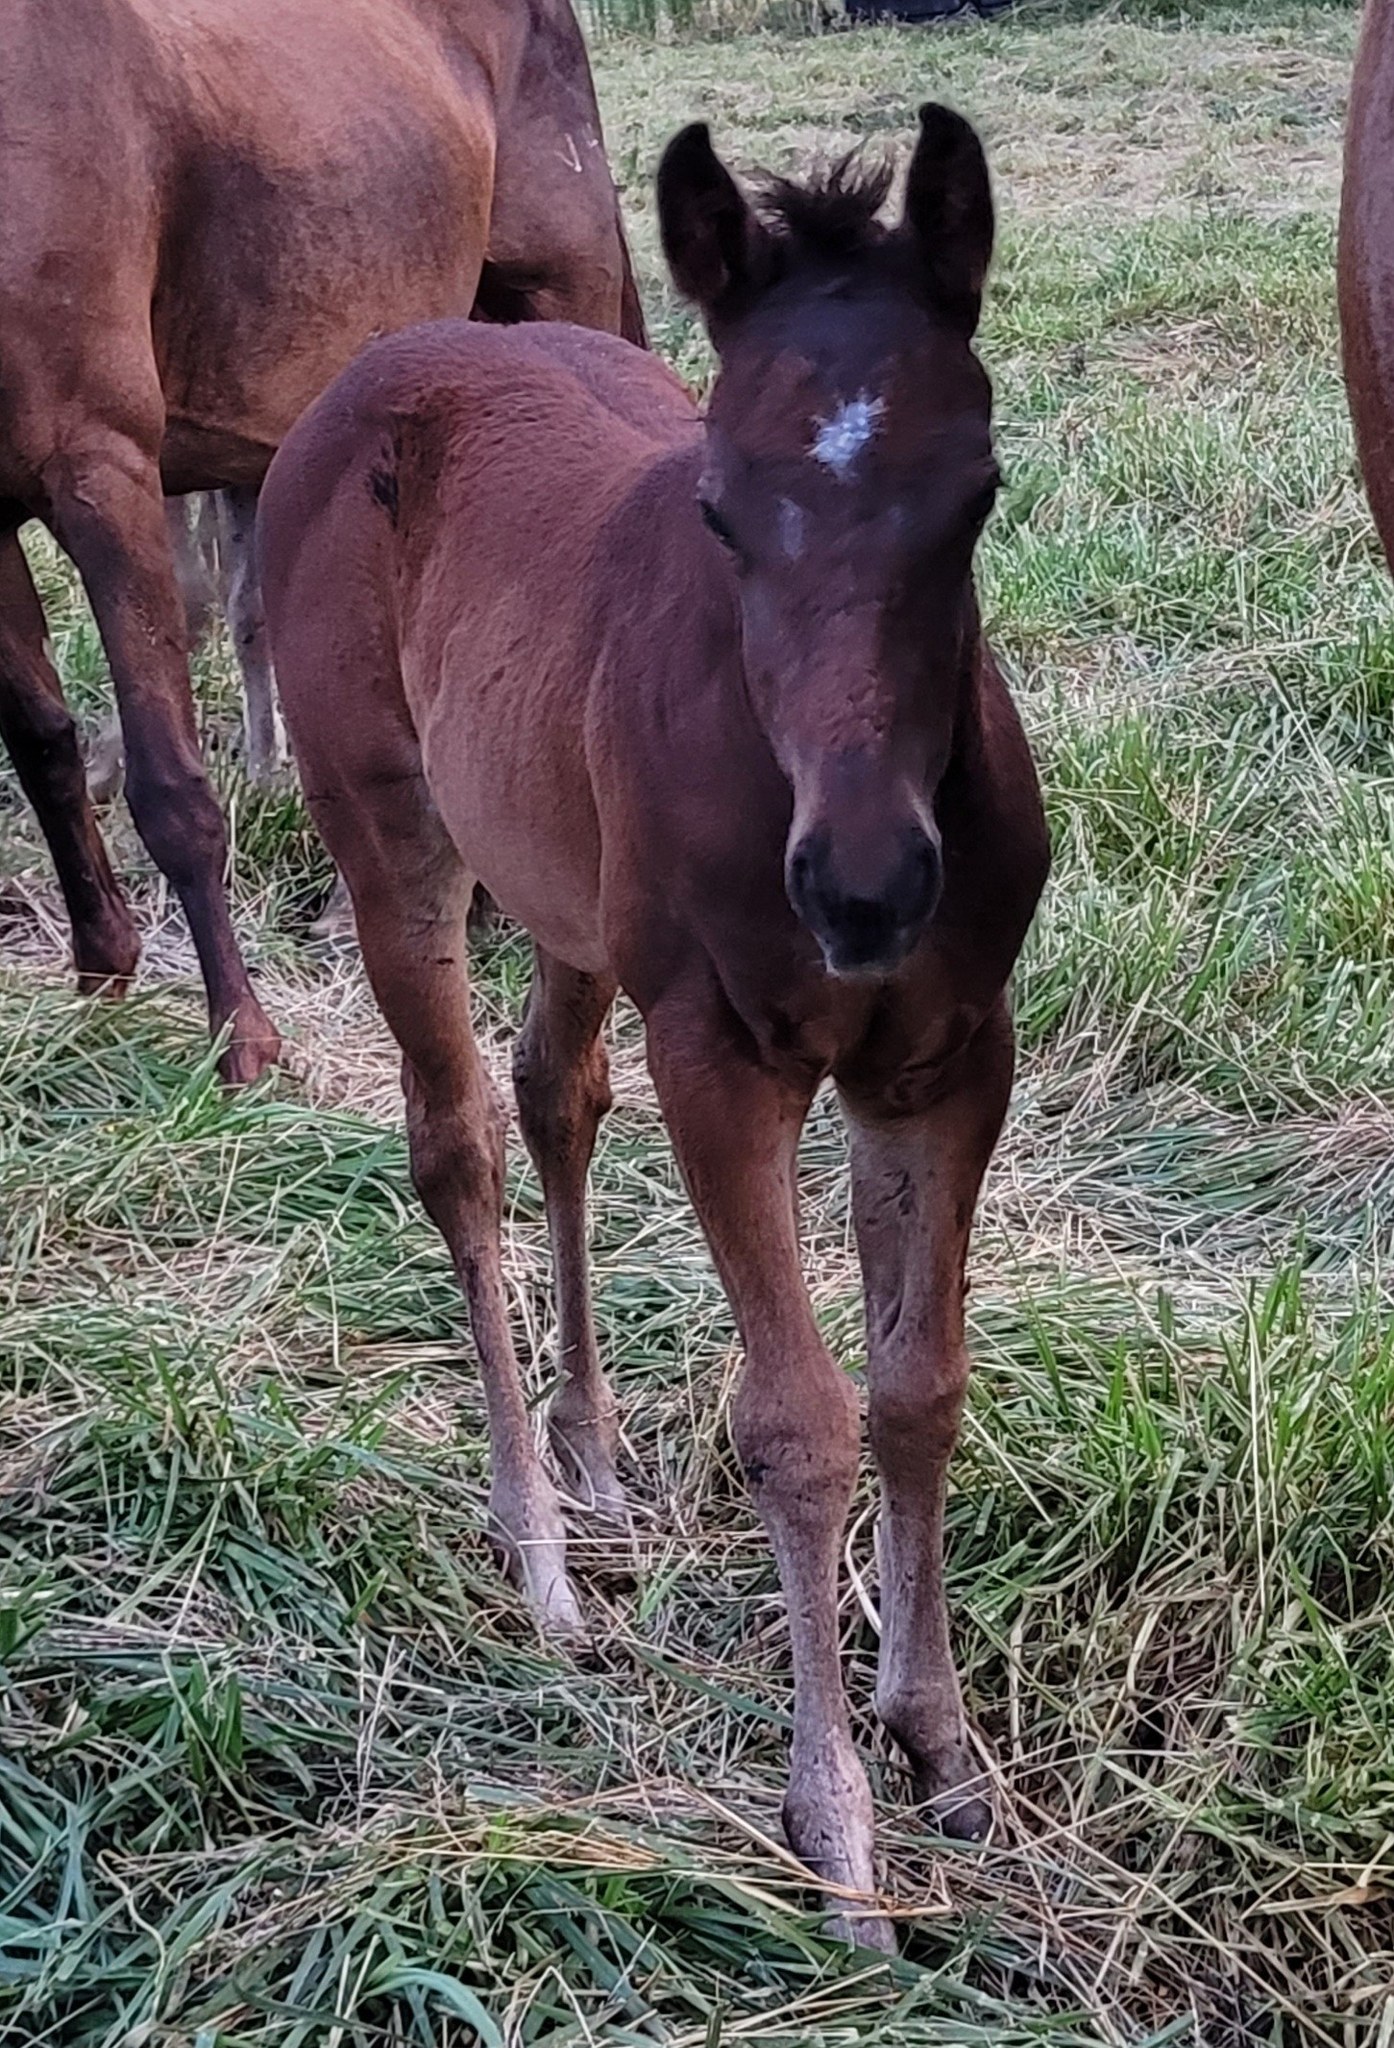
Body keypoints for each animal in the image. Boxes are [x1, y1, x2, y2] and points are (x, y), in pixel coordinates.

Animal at [0, 0, 643, 1083]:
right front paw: (101, 965)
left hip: (558, 309)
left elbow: (171, 786)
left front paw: (243, 1037)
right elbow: (43, 743)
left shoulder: (103, 472)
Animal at [257, 107, 1049, 1947]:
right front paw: (836, 1833)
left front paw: (940, 1742)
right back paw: (539, 1553)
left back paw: (595, 1456)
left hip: (563, 893)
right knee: (458, 1142)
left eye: (974, 496)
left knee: (553, 1089)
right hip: (392, 840)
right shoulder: (724, 1060)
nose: (859, 886)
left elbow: (918, 1385)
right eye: (718, 514)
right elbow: (799, 1420)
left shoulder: (943, 1057)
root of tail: (383, 356)